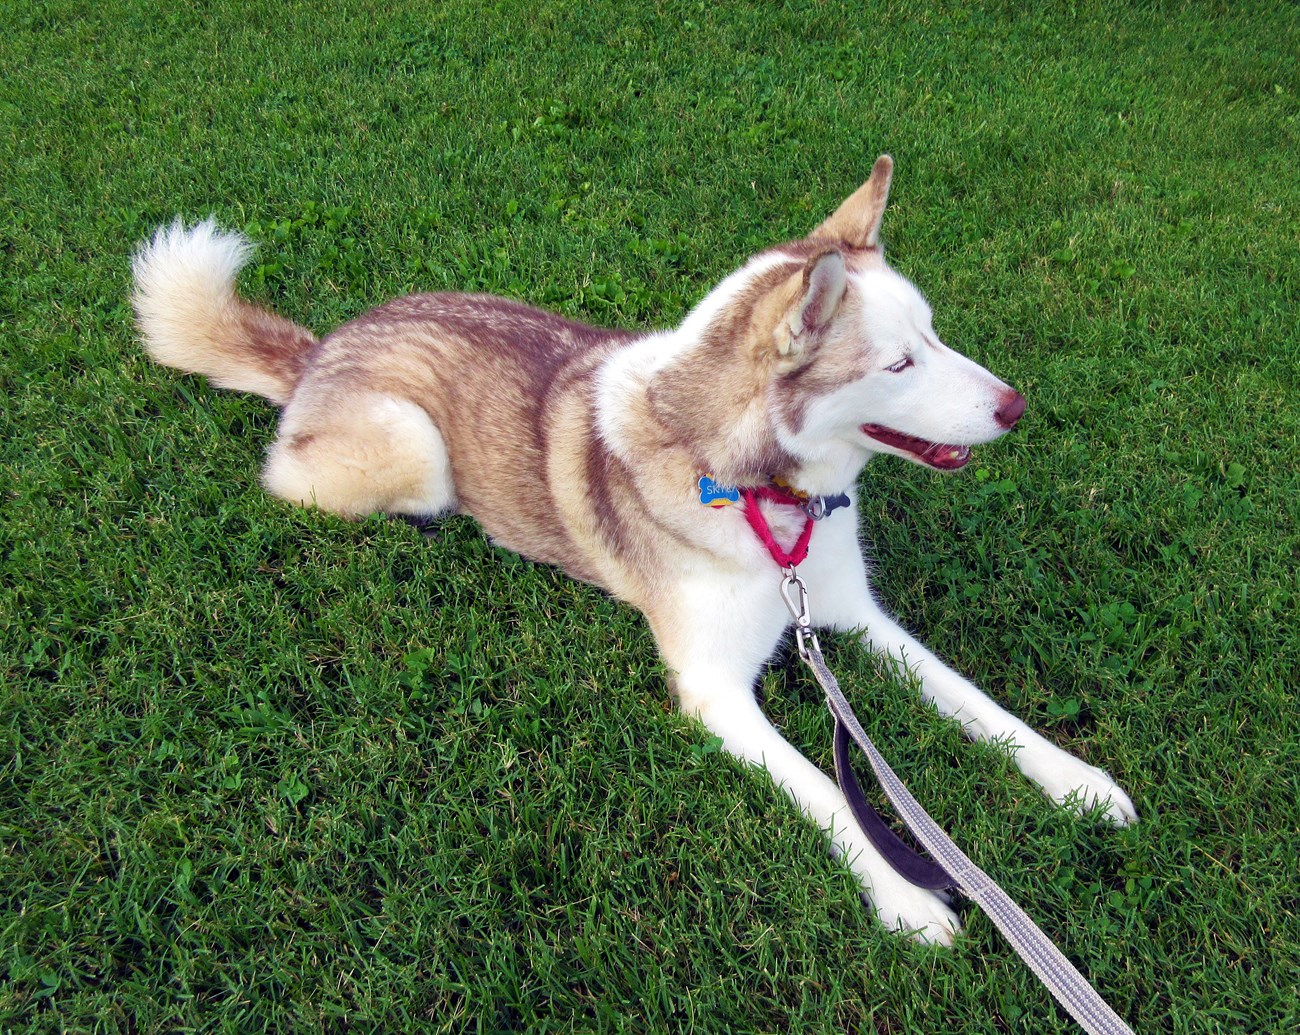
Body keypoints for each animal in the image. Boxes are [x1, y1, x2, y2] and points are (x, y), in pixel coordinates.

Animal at [126, 157, 1133, 941]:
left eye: (933, 333)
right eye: (899, 363)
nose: (1016, 406)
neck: (766, 500)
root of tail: (321, 348)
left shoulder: (849, 615)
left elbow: (976, 702)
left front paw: (1077, 780)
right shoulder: (715, 691)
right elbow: (828, 790)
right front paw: (903, 895)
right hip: (414, 453)